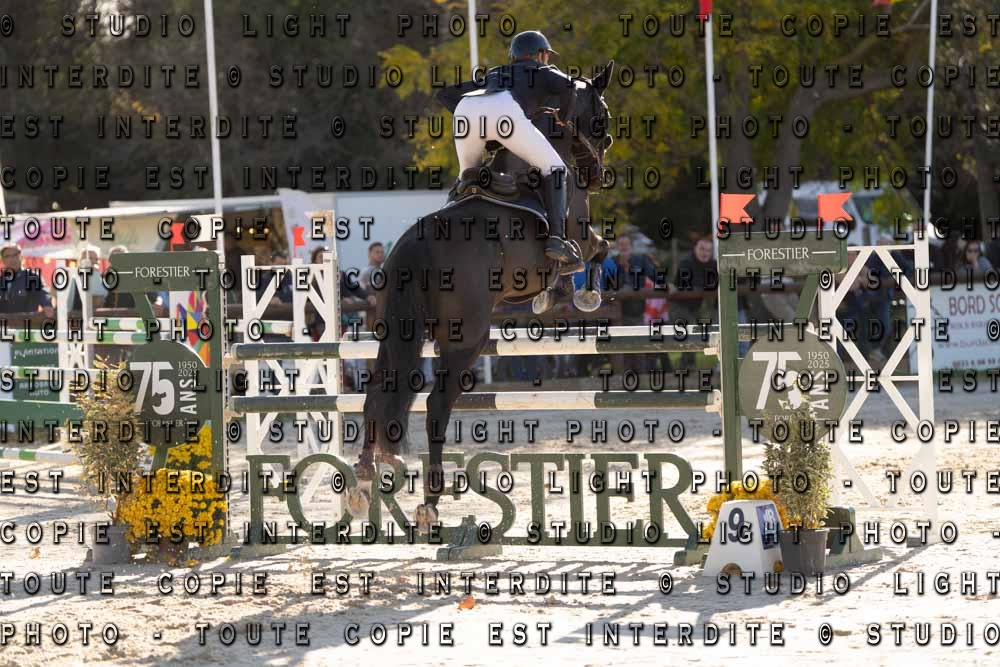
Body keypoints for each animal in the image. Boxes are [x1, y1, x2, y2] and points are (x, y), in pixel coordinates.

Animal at [348, 60, 617, 527]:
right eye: (599, 115)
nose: (598, 174)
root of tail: (416, 245)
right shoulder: (581, 236)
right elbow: (594, 251)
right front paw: (581, 295)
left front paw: (556, 295)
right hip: (466, 339)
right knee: (437, 405)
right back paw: (430, 501)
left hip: (395, 333)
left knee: (376, 392)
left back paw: (365, 479)